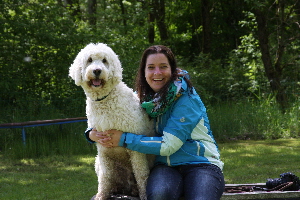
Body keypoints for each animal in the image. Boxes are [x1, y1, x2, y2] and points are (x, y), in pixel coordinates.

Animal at [69, 43, 154, 199]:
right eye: (89, 60)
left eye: (104, 60)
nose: (97, 70)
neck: (104, 99)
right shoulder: (103, 151)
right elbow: (105, 177)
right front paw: (101, 195)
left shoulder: (136, 151)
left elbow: (142, 175)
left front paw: (144, 195)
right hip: (98, 161)